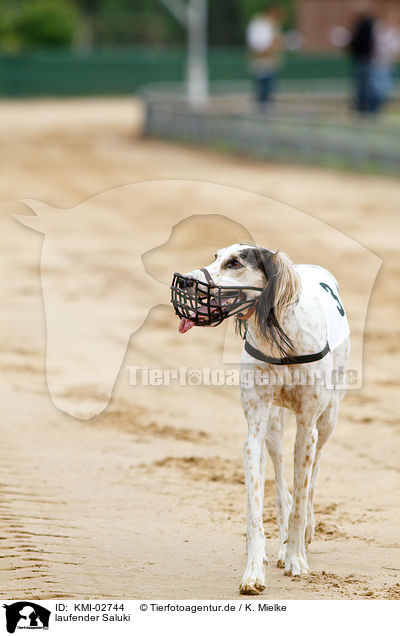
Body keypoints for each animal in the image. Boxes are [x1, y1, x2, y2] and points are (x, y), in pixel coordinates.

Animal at [172, 245, 350, 596]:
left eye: (234, 263)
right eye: (215, 256)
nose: (184, 281)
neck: (282, 338)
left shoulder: (307, 428)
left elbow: (301, 498)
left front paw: (297, 558)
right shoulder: (254, 433)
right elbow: (258, 510)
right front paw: (255, 571)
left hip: (328, 420)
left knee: (313, 475)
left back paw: (304, 534)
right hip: (274, 429)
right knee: (281, 484)